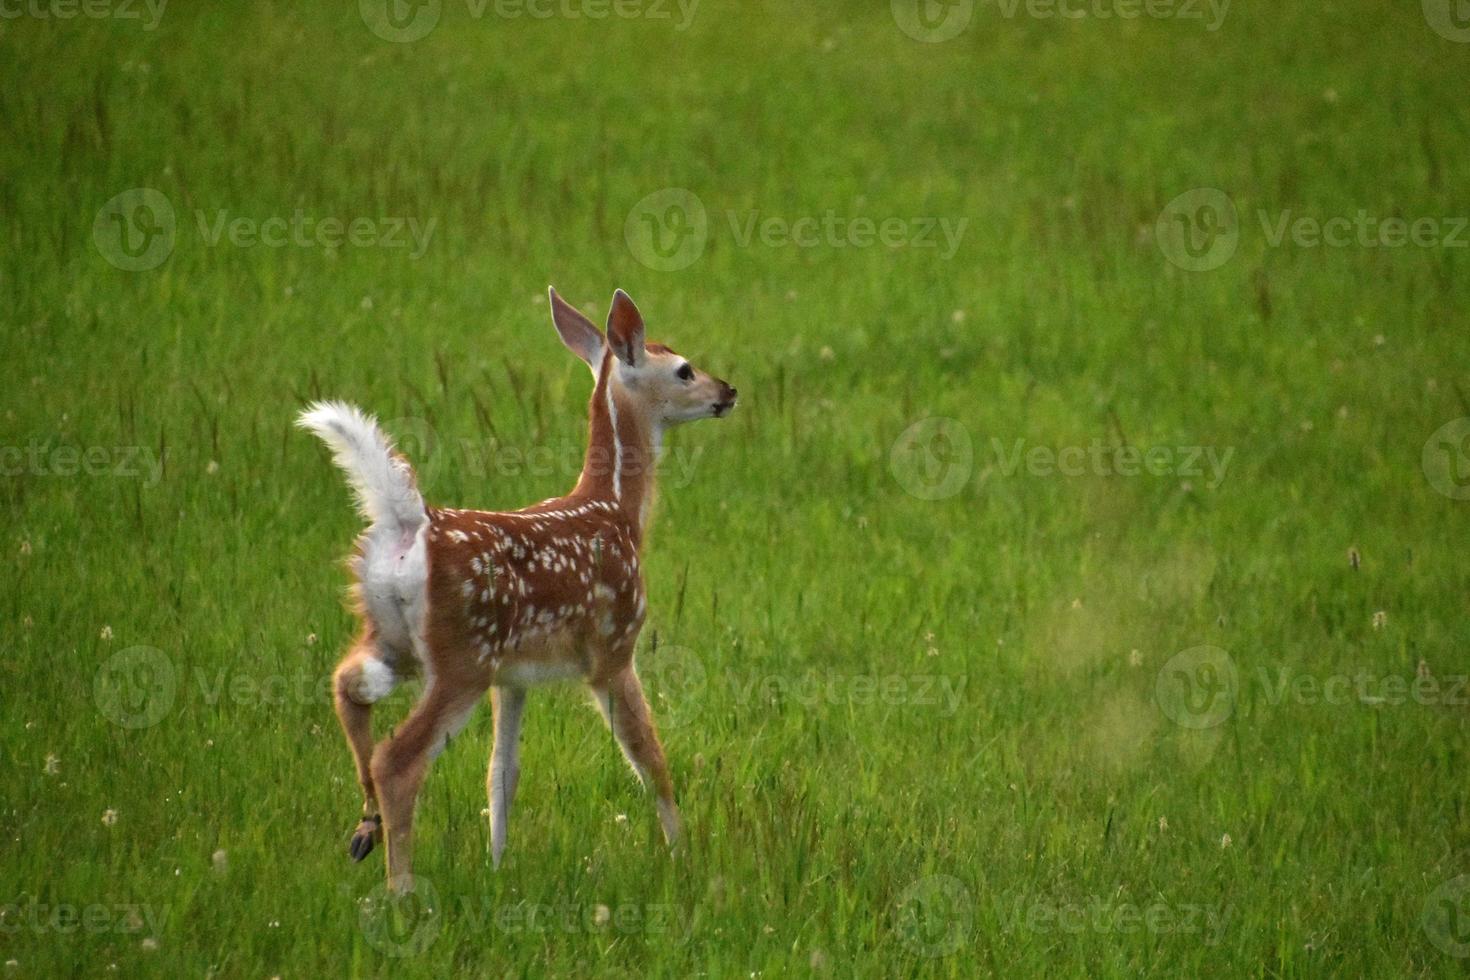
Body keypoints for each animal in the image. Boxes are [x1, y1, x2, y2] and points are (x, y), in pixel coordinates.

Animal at [298, 287, 740, 893]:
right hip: (461, 656)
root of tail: (408, 524)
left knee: (347, 687)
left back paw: (367, 828)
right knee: (399, 760)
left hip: (394, 639)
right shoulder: (613, 650)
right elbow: (650, 757)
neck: (618, 510)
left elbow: (501, 774)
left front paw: (498, 866)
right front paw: (683, 857)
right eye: (684, 369)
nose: (728, 391)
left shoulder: (513, 679)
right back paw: (402, 890)